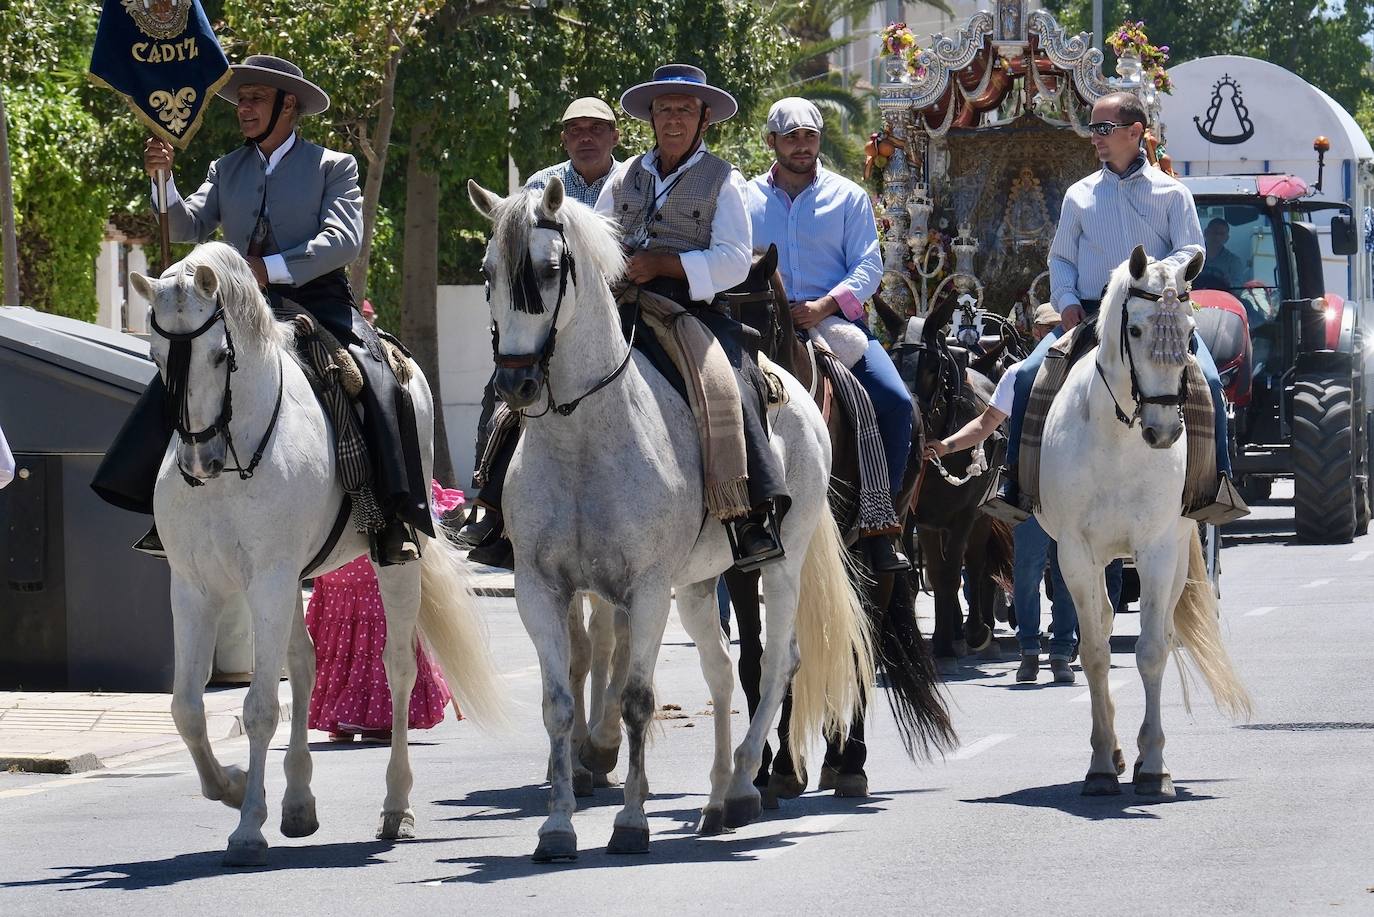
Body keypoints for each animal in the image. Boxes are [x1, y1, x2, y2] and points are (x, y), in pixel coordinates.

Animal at [127, 243, 505, 868]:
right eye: (157, 357)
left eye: (220, 354)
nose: (199, 461)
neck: (239, 452)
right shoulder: (195, 586)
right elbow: (186, 708)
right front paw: (232, 787)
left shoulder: (271, 579)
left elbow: (259, 708)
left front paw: (246, 829)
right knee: (302, 667)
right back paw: (299, 801)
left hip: (390, 561)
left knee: (397, 668)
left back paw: (396, 807)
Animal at [467, 177, 873, 863]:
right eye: (488, 271)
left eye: (549, 270)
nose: (515, 384)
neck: (583, 437)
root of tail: (795, 384)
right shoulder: (539, 589)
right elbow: (558, 704)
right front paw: (557, 826)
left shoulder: (647, 588)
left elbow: (636, 700)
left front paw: (631, 822)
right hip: (701, 584)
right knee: (721, 672)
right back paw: (716, 800)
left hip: (778, 563)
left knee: (780, 661)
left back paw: (746, 782)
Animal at [1033, 247, 1253, 797]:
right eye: (1133, 330)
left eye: (1191, 327)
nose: (1165, 430)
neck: (1119, 439)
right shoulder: (1074, 554)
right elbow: (1093, 651)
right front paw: (1099, 764)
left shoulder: (1156, 549)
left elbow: (1153, 650)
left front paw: (1152, 765)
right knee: (1106, 620)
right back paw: (1111, 753)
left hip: (1174, 554)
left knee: (1164, 631)